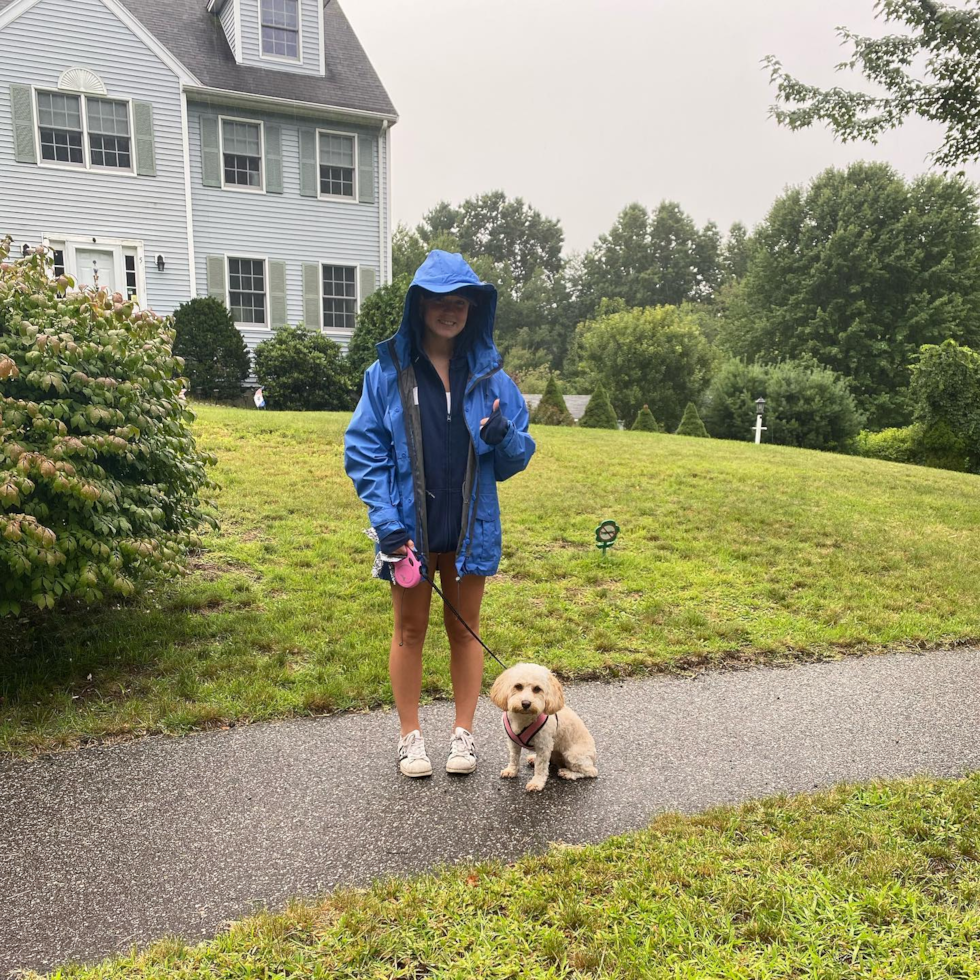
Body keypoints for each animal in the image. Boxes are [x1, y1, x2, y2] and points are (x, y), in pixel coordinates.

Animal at [490, 664, 596, 792]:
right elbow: (514, 757)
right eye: (518, 686)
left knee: (591, 771)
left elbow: (541, 767)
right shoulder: (513, 742)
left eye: (537, 689)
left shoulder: (544, 745)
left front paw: (536, 783)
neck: (523, 718)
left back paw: (568, 773)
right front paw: (511, 770)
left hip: (573, 755)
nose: (526, 703)